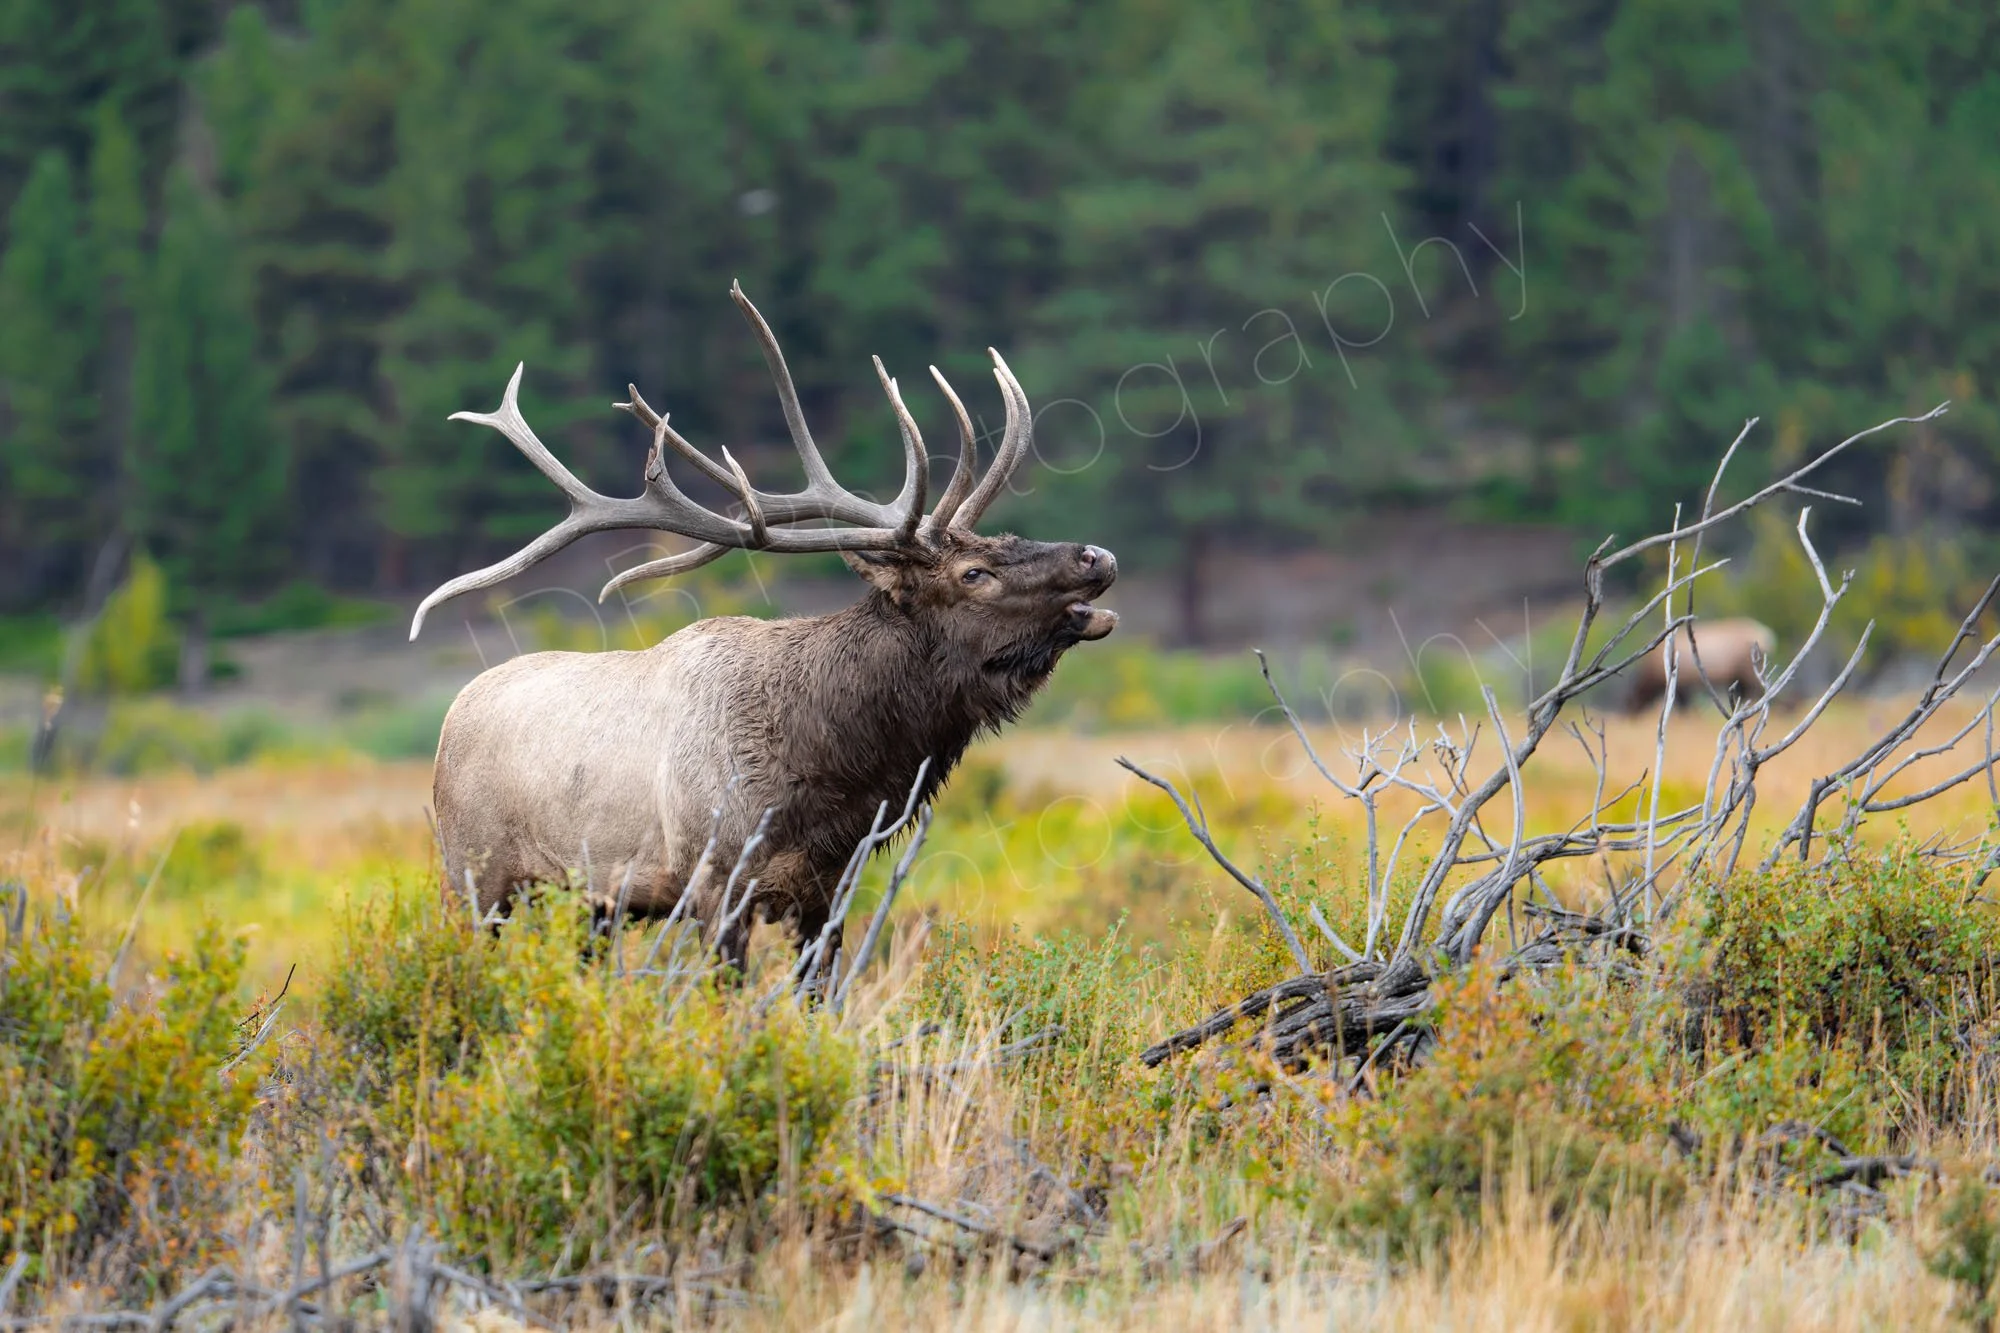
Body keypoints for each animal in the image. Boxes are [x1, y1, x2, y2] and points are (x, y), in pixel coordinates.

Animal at [410, 284, 1117, 972]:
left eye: (1005, 538)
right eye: (974, 573)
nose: (1097, 556)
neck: (831, 777)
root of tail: (449, 722)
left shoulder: (830, 888)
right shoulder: (714, 880)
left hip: (590, 905)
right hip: (473, 879)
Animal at [1625, 617, 1775, 713]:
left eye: (1631, 701)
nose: (1628, 715)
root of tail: (1767, 637)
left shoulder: (1682, 683)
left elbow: (1684, 706)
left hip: (1746, 668)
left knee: (1755, 689)